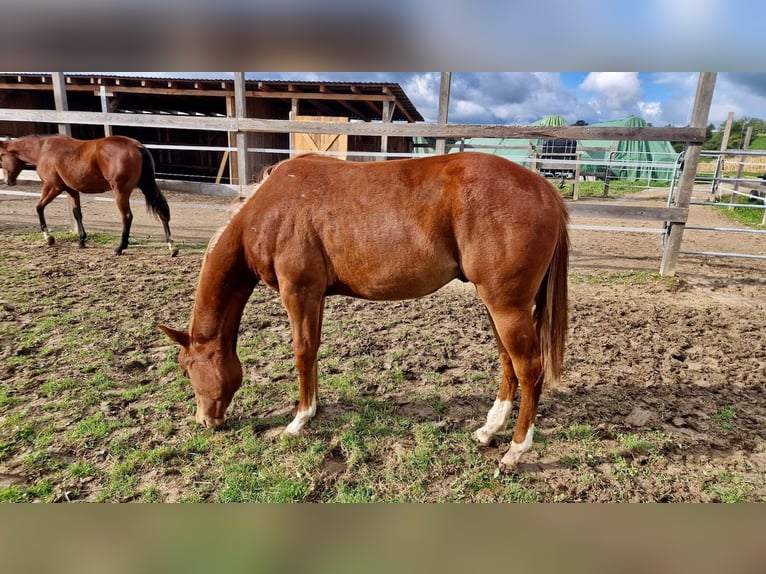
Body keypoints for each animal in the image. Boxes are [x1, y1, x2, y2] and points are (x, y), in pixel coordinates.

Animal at [0, 135, 178, 256]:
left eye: (1, 156)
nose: (8, 181)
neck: (44, 151)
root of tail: (137, 146)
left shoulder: (52, 187)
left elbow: (39, 208)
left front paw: (49, 238)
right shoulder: (72, 191)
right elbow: (77, 214)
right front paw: (81, 240)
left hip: (121, 192)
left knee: (127, 217)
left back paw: (120, 248)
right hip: (145, 185)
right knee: (162, 211)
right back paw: (171, 246)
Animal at [160, 153, 568, 472]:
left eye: (186, 369)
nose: (205, 421)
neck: (269, 210)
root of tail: (542, 187)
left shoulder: (299, 292)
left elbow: (302, 352)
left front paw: (298, 420)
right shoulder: (315, 296)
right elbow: (313, 350)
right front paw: (312, 409)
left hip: (506, 307)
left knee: (529, 368)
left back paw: (516, 450)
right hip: (496, 306)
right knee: (508, 362)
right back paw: (489, 431)